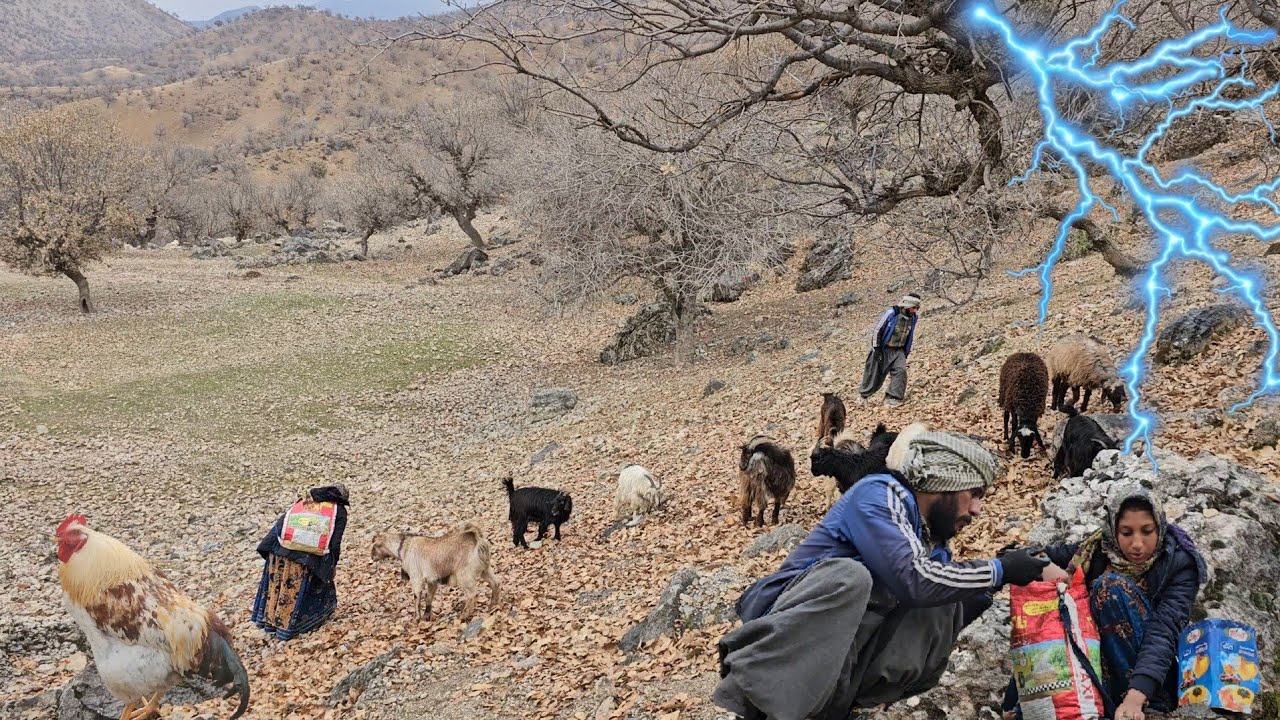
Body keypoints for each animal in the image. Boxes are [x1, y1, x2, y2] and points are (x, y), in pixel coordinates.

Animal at [370, 522, 502, 621]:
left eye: (374, 546)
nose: (372, 557)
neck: (404, 547)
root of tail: (476, 539)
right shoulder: (432, 581)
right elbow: (429, 597)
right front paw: (426, 616)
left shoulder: (416, 578)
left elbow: (417, 597)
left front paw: (417, 618)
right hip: (485, 569)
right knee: (495, 583)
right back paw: (492, 606)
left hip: (464, 575)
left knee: (471, 594)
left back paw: (463, 616)